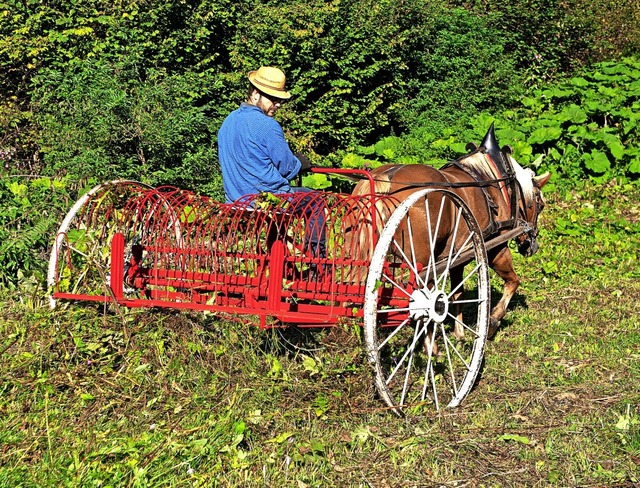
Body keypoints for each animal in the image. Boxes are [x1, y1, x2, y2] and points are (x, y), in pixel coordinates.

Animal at [348, 124, 552, 338]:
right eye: (540, 205)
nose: (531, 246)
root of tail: (385, 178)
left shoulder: (456, 257)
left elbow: (457, 293)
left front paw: (459, 332)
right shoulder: (496, 247)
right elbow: (513, 281)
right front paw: (493, 321)